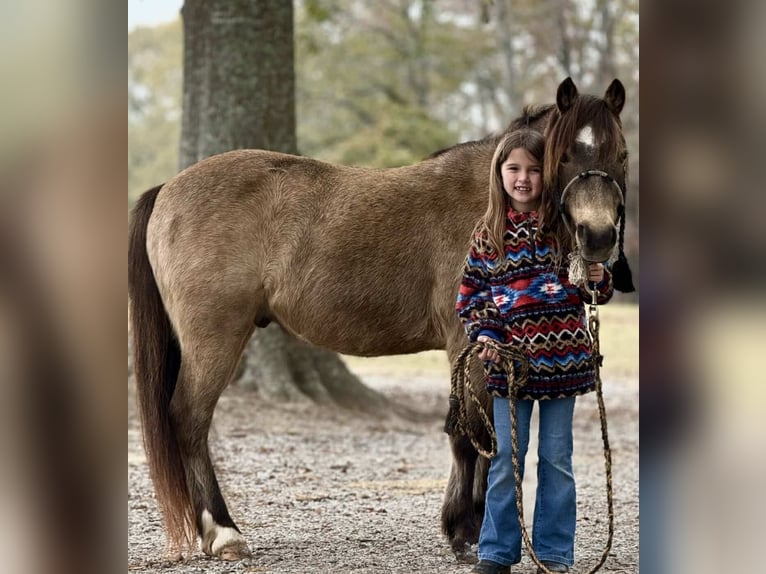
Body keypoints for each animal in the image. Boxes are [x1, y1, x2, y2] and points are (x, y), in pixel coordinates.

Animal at [128, 77, 631, 561]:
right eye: (562, 156)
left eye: (621, 155)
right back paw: (223, 533)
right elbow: (470, 434)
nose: (598, 237)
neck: (492, 203)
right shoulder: (467, 343)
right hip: (214, 339)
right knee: (189, 420)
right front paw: (468, 534)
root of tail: (167, 189)